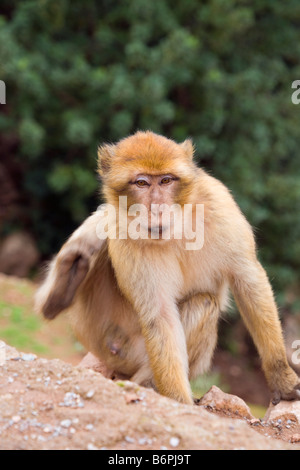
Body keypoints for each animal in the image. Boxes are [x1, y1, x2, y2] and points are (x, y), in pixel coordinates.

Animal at [35, 131, 300, 404]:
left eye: (165, 180)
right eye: (141, 183)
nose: (158, 208)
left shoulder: (220, 206)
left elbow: (247, 279)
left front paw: (281, 376)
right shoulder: (124, 236)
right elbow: (160, 314)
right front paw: (180, 402)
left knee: (204, 303)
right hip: (117, 346)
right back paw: (61, 289)